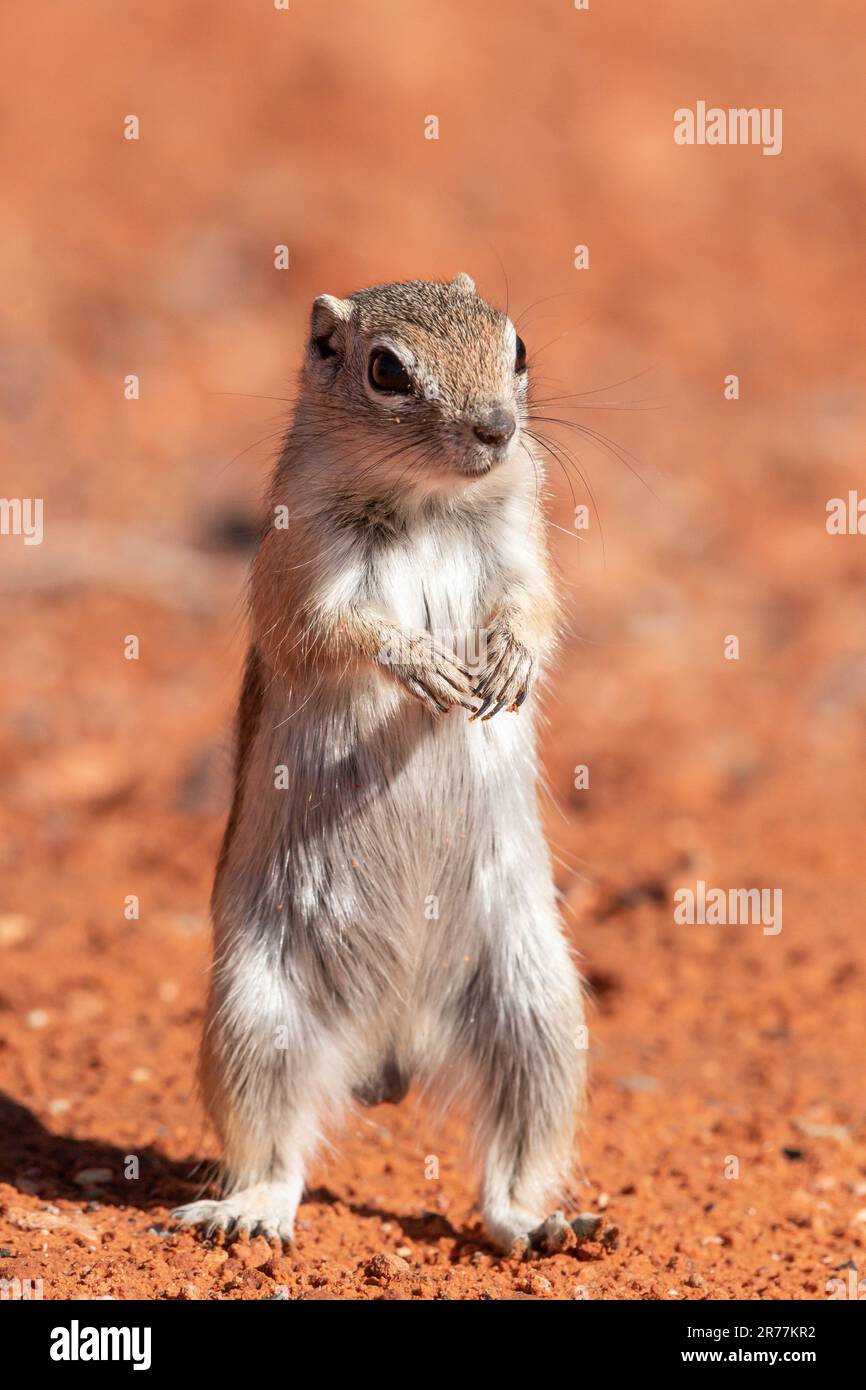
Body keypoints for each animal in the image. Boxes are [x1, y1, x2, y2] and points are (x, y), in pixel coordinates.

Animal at [173, 273, 586, 1262]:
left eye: (518, 348)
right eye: (387, 370)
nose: (495, 429)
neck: (428, 501)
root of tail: (393, 1048)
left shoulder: (524, 546)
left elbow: (534, 608)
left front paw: (507, 664)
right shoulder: (298, 564)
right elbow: (336, 631)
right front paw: (422, 660)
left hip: (539, 1012)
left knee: (514, 1156)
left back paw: (537, 1223)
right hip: (255, 1019)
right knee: (275, 1148)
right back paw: (250, 1211)